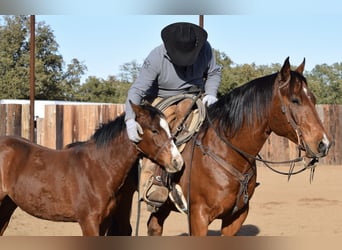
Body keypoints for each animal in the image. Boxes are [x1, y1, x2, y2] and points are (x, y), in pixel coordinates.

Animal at [0, 101, 184, 236]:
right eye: (154, 130)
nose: (177, 161)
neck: (98, 168)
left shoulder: (104, 222)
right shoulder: (89, 222)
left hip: (7, 205)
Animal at [108, 57, 330, 235]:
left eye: (313, 99)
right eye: (295, 100)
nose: (323, 143)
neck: (227, 152)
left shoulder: (236, 217)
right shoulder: (198, 217)